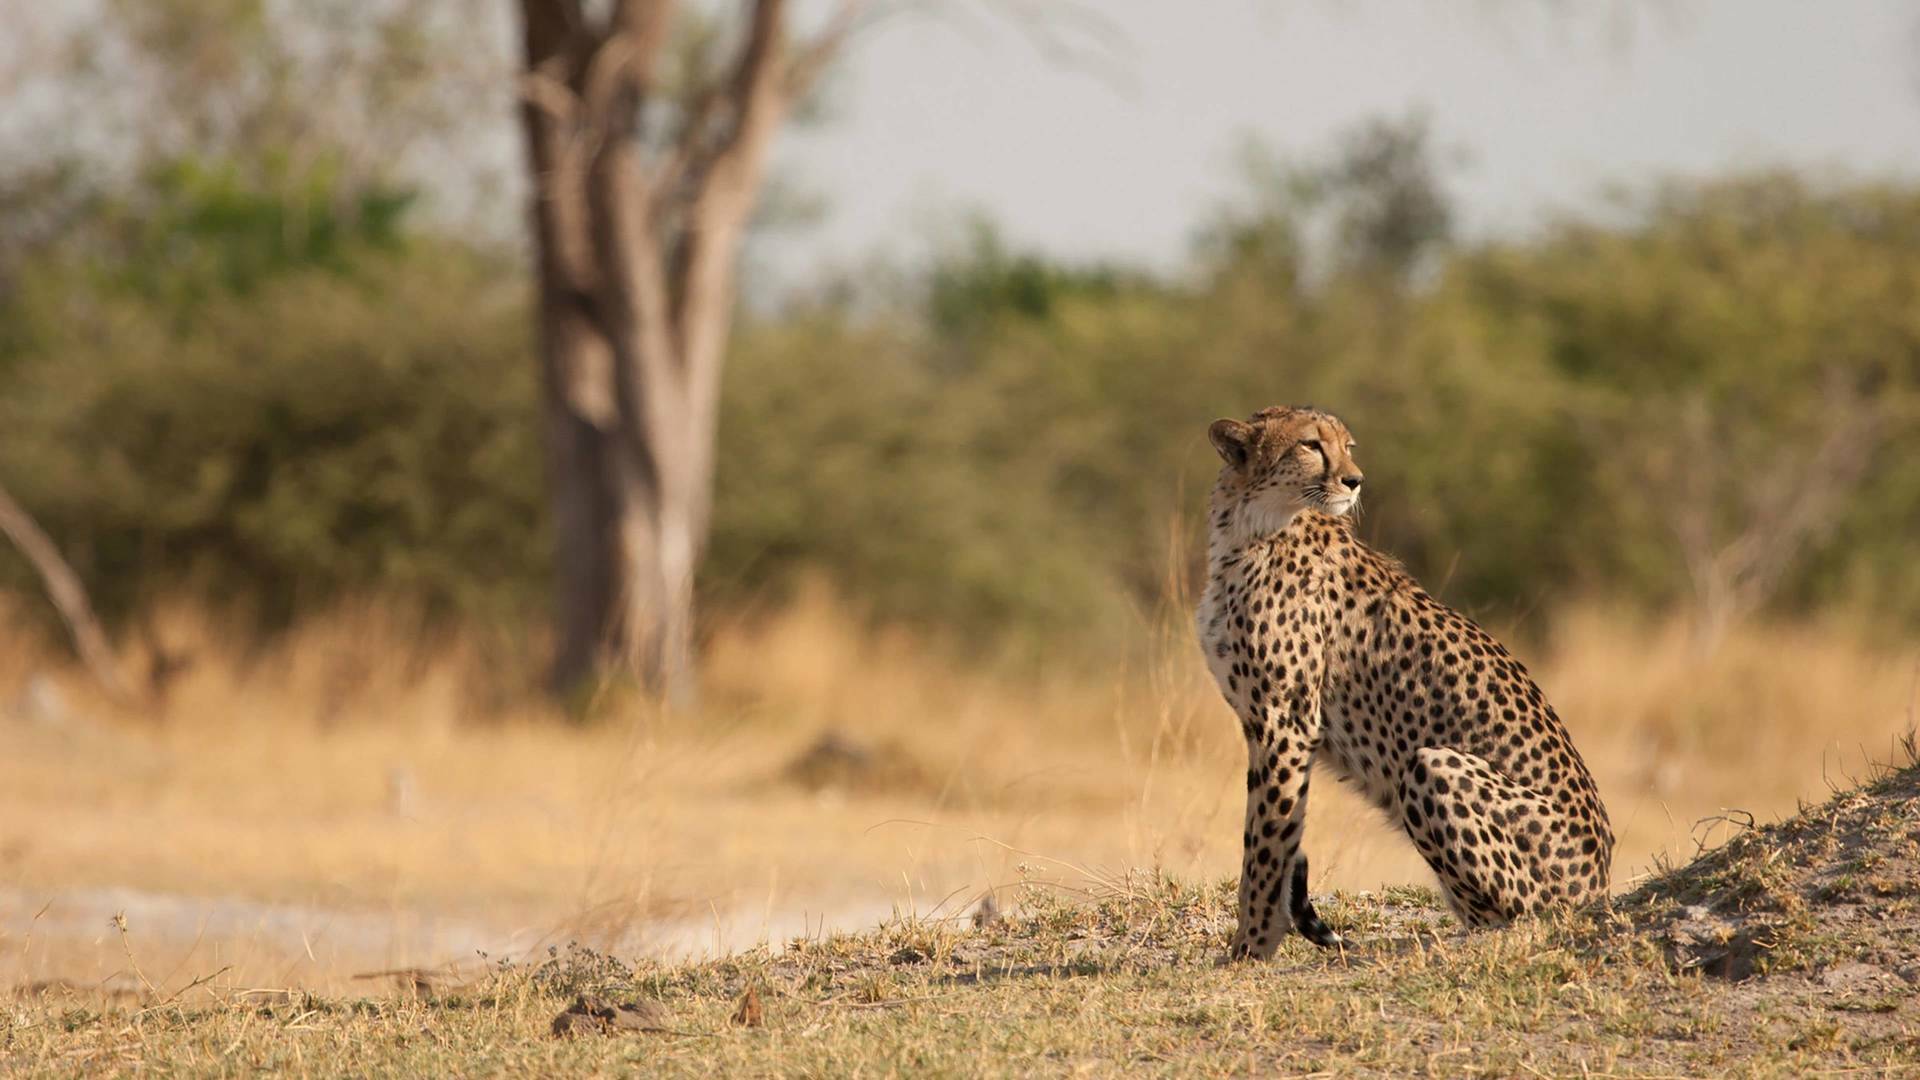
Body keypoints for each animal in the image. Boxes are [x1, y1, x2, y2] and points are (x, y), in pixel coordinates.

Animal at [1190, 405, 1612, 957]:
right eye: (1310, 445)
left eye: (1347, 446)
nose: (1355, 480)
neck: (1249, 525)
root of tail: (1600, 885)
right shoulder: (1272, 722)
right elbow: (1275, 839)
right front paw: (1256, 940)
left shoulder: (1287, 722)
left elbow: (1264, 845)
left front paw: (1250, 947)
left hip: (1433, 767)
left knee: (1518, 916)